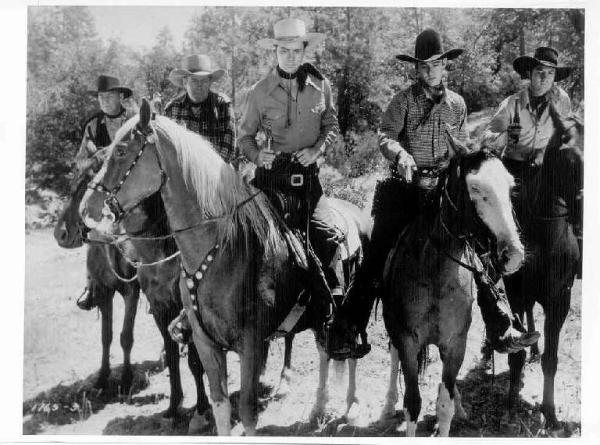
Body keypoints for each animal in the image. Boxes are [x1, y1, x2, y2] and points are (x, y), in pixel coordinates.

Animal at [54, 170, 212, 430]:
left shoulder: (131, 292)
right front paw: (102, 380)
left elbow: (126, 337)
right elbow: (106, 337)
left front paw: (126, 382)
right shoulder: (106, 293)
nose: (60, 234)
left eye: (82, 191)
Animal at [79, 98, 370, 434]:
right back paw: (317, 409)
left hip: (352, 311)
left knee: (349, 354)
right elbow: (220, 406)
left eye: (121, 152)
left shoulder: (251, 345)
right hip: (320, 319)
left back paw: (351, 408)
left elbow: (247, 412)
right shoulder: (205, 343)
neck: (218, 252)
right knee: (325, 353)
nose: (87, 211)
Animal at [378, 135, 528, 434]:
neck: (433, 271)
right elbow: (412, 404)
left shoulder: (455, 342)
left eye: (510, 186)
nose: (513, 254)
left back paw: (460, 406)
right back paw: (388, 405)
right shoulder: (408, 341)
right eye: (476, 187)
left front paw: (453, 408)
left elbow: (444, 405)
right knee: (393, 356)